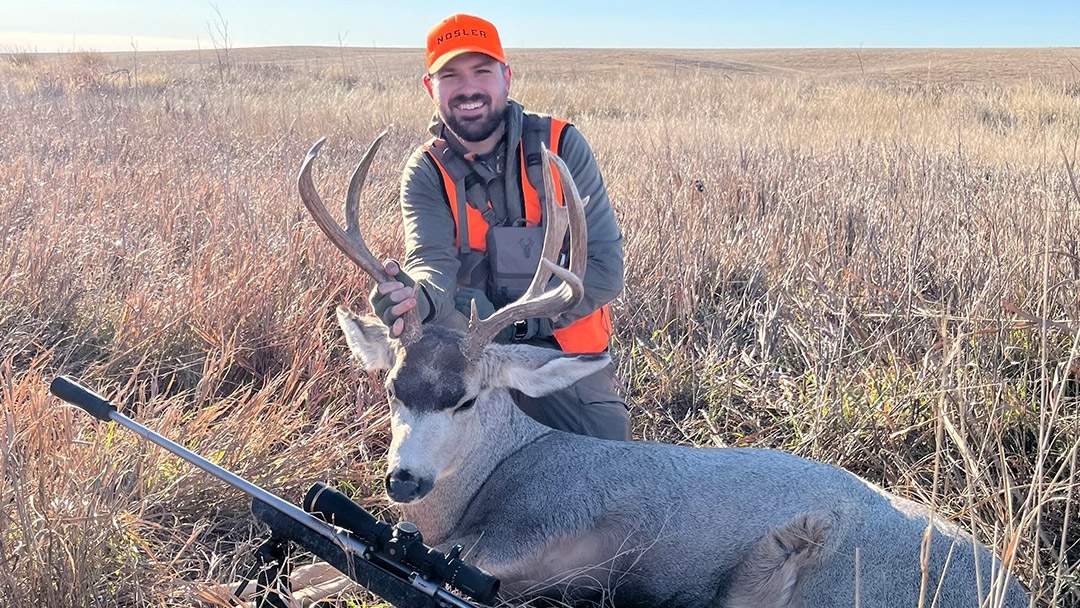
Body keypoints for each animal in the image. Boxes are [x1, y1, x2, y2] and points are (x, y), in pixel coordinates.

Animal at [290, 133, 1030, 608]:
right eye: (392, 388)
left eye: (467, 399)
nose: (403, 479)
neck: (498, 475)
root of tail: (1015, 593)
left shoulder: (523, 543)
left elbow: (315, 575)